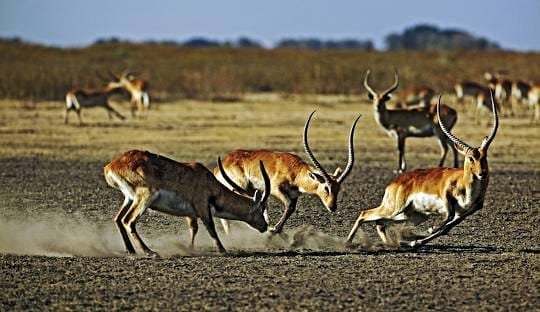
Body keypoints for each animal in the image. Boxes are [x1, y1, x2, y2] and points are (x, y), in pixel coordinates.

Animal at [103, 149, 270, 256]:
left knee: (118, 219)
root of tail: (110, 167)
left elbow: (193, 229)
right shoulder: (202, 207)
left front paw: (190, 249)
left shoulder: (191, 213)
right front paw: (223, 250)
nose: (265, 226)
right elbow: (211, 228)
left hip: (129, 199)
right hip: (144, 197)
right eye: (260, 209)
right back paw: (149, 252)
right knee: (128, 220)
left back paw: (131, 250)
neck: (209, 184)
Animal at [213, 110, 360, 234]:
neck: (296, 171)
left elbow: (291, 208)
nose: (332, 207)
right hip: (240, 188)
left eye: (338, 189)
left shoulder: (294, 195)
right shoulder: (276, 189)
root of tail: (223, 163)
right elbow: (288, 206)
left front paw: (274, 228)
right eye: (326, 188)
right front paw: (274, 229)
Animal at [348, 92, 500, 249]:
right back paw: (348, 243)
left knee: (379, 222)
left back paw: (393, 244)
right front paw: (426, 232)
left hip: (413, 215)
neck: (464, 183)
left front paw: (415, 241)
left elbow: (447, 227)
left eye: (484, 156)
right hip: (395, 209)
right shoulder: (446, 199)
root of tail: (394, 183)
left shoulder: (465, 212)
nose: (482, 173)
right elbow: (447, 219)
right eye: (470, 158)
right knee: (365, 214)